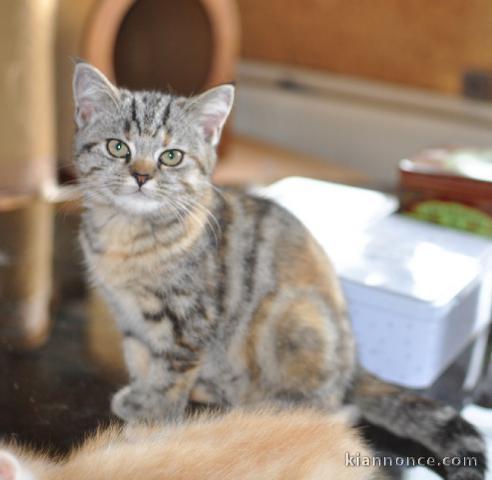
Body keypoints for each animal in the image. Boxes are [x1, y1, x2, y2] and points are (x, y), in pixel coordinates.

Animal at [73, 63, 484, 480]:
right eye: (118, 147)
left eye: (171, 156)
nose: (141, 176)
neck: (127, 236)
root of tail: (352, 364)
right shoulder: (129, 313)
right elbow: (139, 356)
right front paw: (141, 395)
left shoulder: (189, 319)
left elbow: (170, 371)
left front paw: (153, 413)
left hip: (293, 317)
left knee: (327, 408)